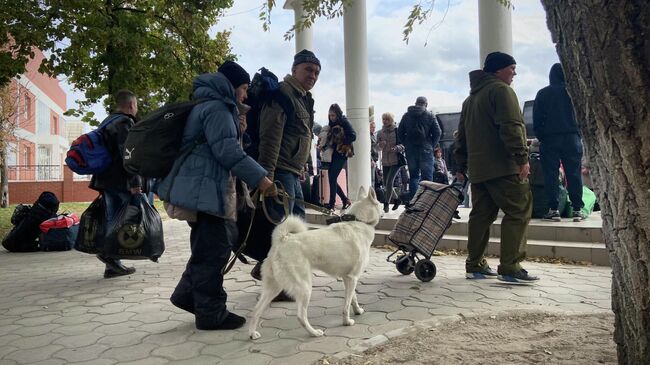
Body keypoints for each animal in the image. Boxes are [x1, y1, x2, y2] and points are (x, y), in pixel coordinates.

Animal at [247, 186, 380, 336]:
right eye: (380, 203)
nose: (384, 208)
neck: (358, 221)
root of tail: (282, 240)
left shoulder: (349, 278)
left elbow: (352, 298)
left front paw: (357, 311)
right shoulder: (352, 278)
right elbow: (346, 304)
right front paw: (346, 322)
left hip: (273, 287)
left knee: (256, 310)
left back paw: (252, 334)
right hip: (304, 287)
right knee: (300, 316)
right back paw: (314, 333)